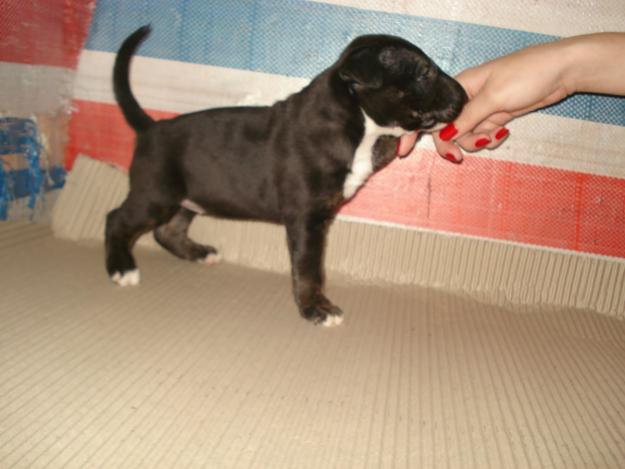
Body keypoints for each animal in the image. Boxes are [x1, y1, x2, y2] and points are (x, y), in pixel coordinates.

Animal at [105, 25, 466, 326]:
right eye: (424, 73)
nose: (464, 95)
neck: (353, 116)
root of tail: (151, 127)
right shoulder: (307, 220)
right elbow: (308, 269)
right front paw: (317, 309)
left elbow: (387, 145)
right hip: (155, 193)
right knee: (117, 219)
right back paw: (122, 268)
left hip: (189, 195)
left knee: (168, 230)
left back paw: (199, 253)